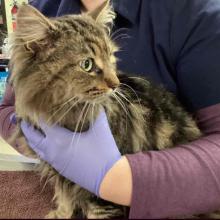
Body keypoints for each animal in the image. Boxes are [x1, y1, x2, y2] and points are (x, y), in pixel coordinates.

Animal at [9, 1, 205, 218]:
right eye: (87, 64)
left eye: (110, 56)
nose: (116, 83)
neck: (62, 114)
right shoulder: (58, 168)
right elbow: (64, 199)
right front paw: (61, 214)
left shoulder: (99, 190)